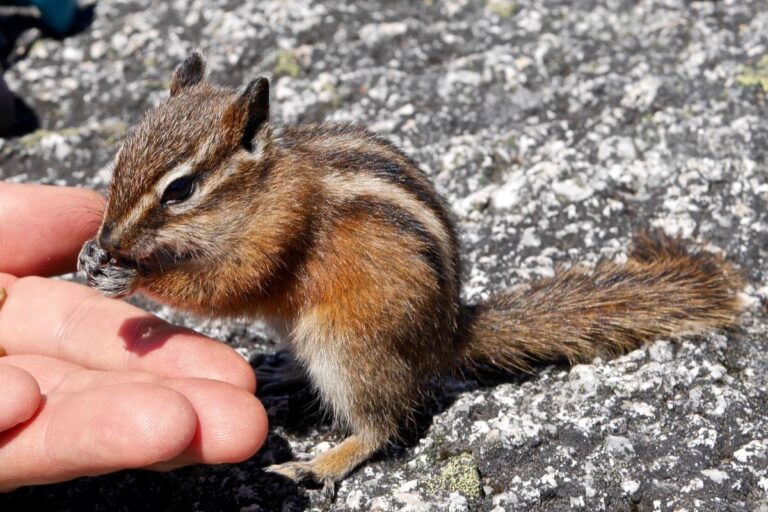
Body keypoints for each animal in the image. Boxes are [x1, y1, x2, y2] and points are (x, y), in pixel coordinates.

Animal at [77, 52, 744, 497]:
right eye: (120, 157)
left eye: (180, 190)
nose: (108, 240)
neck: (262, 188)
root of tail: (444, 338)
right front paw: (90, 256)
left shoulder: (277, 235)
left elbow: (228, 286)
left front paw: (131, 275)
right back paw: (281, 374)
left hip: (349, 347)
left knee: (386, 423)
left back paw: (321, 462)